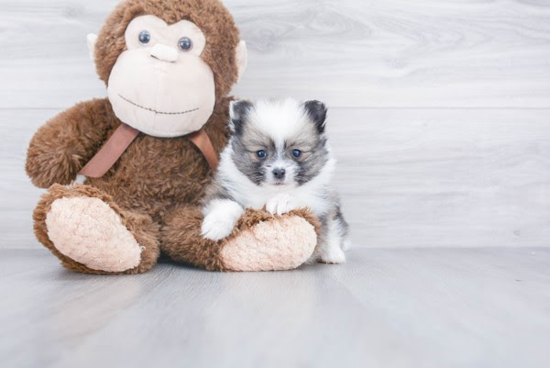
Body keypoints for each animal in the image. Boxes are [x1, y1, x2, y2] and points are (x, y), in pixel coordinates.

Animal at [202, 99, 350, 264]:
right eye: (261, 153)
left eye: (296, 153)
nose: (279, 172)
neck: (271, 191)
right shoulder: (222, 189)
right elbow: (227, 204)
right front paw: (215, 226)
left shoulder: (320, 200)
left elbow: (300, 196)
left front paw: (281, 201)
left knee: (335, 228)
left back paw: (333, 253)